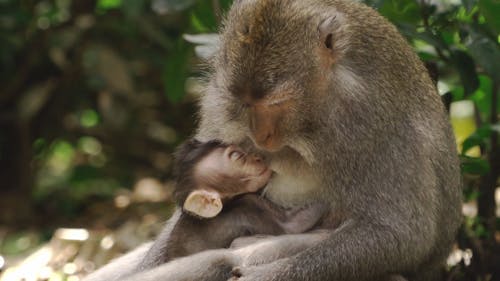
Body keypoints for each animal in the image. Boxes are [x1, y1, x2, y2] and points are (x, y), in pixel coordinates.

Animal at [82, 0, 460, 278]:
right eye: (245, 103)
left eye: (277, 104)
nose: (260, 137)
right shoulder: (221, 95)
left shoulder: (372, 119)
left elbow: (398, 233)